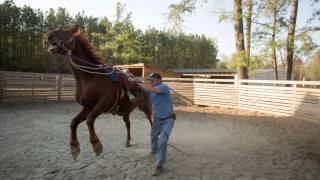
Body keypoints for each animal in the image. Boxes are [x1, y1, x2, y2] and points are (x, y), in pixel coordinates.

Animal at [43, 25, 152, 160]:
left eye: (65, 32)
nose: (48, 35)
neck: (90, 77)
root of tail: (141, 82)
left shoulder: (104, 103)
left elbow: (89, 120)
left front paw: (96, 144)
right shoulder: (88, 106)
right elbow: (73, 122)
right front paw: (74, 147)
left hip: (146, 108)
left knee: (152, 121)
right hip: (126, 112)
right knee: (128, 124)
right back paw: (128, 141)